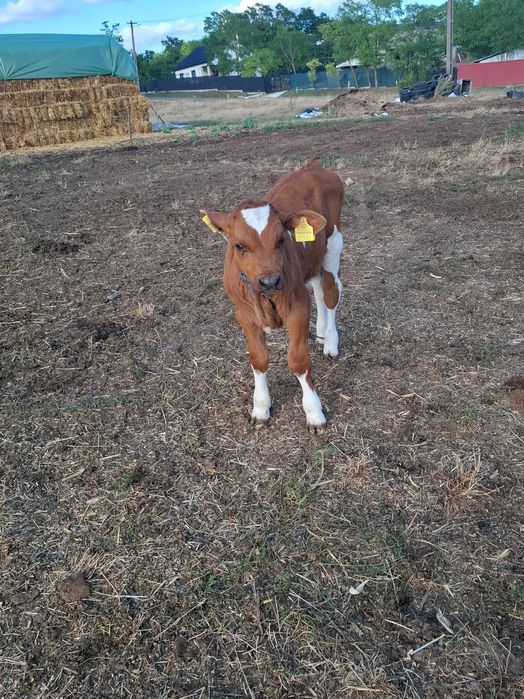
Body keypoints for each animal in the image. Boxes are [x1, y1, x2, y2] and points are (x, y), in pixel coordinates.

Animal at [202, 159, 344, 432]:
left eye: (281, 240)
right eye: (238, 245)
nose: (270, 281)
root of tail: (314, 165)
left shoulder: (298, 306)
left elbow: (298, 361)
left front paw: (314, 412)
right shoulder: (244, 313)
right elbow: (258, 359)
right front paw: (260, 408)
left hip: (334, 240)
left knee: (330, 291)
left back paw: (331, 342)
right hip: (313, 257)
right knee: (318, 287)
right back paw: (321, 333)